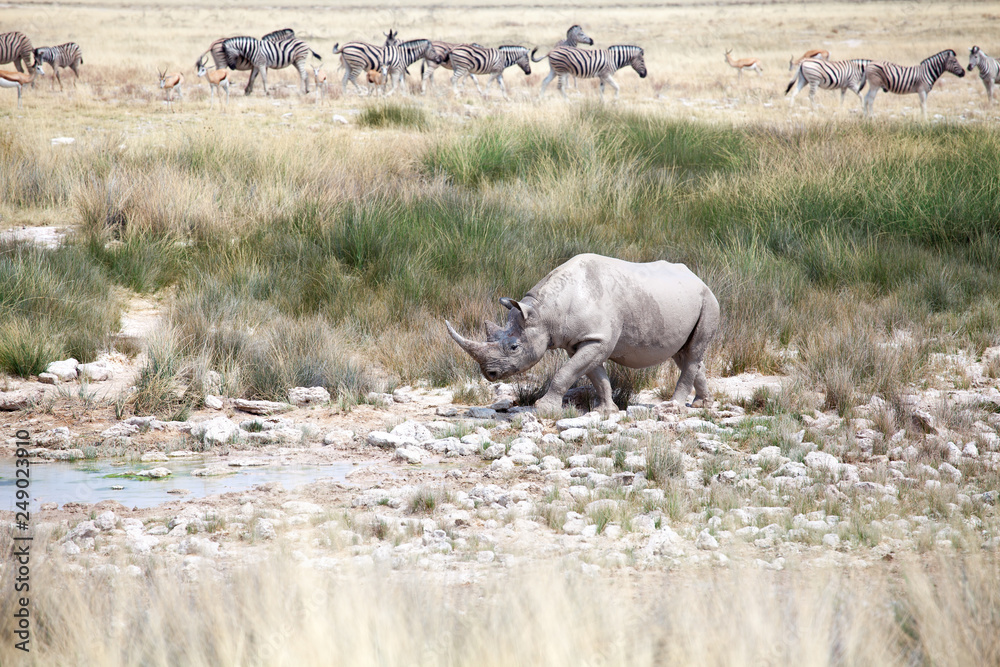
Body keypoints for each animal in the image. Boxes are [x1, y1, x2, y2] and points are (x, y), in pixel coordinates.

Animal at [446, 253, 720, 413]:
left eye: (514, 347)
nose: (489, 374)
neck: (544, 312)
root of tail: (698, 278)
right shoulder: (582, 341)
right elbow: (595, 375)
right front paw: (606, 411)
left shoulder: (597, 339)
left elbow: (566, 373)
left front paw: (543, 409)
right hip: (683, 301)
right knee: (683, 353)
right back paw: (702, 404)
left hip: (708, 300)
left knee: (692, 353)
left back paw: (673, 408)